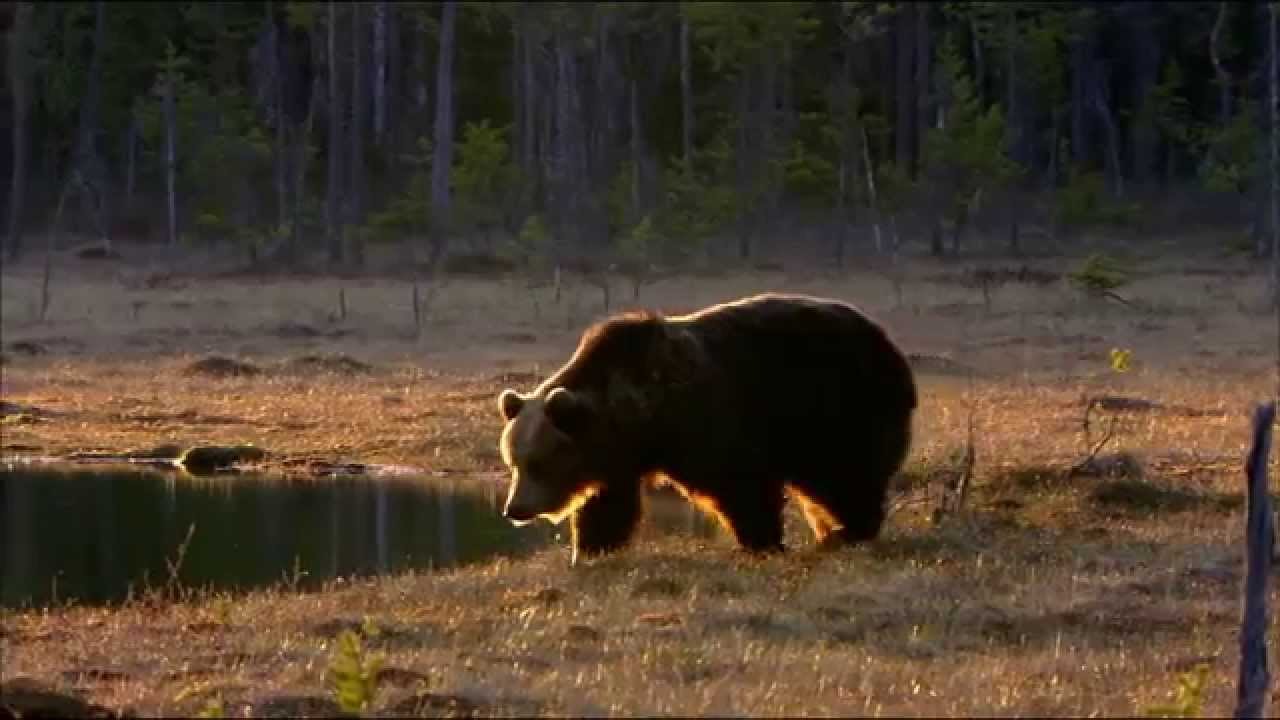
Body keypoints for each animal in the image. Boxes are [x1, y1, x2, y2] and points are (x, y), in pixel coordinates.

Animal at [491, 289, 921, 561]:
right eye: (514, 461)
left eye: (539, 463)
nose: (515, 508)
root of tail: (887, 343)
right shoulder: (618, 459)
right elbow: (607, 506)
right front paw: (592, 549)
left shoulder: (710, 424)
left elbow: (740, 486)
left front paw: (762, 543)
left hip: (838, 406)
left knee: (845, 473)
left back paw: (850, 531)